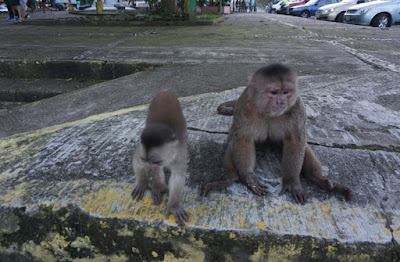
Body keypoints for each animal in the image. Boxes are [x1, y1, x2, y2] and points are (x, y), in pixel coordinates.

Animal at [130, 90, 188, 225]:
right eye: (146, 160)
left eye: (156, 161)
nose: (150, 167)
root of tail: (164, 92)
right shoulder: (141, 152)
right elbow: (137, 162)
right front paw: (144, 183)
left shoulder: (180, 155)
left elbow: (177, 177)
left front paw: (173, 206)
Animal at [202, 64, 352, 205]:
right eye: (274, 92)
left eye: (286, 92)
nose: (281, 101)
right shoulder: (244, 105)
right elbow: (242, 139)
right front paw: (249, 179)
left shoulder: (297, 106)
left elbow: (296, 140)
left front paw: (291, 181)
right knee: (234, 141)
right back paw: (229, 178)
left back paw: (318, 178)